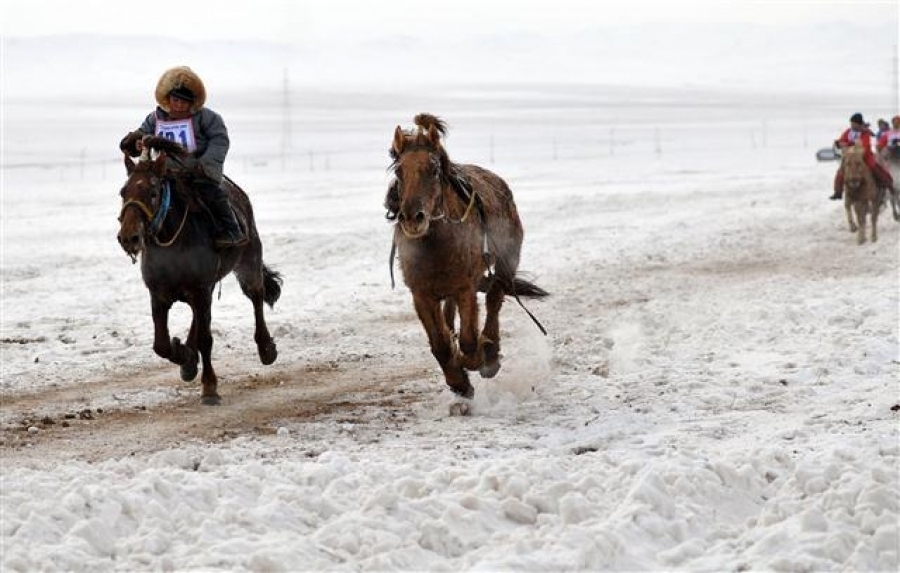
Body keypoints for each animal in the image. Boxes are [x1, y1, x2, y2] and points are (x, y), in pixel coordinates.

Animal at [118, 135, 282, 402]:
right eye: (123, 192)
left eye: (153, 192)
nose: (129, 237)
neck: (172, 241)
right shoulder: (160, 294)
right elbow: (161, 345)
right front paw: (184, 355)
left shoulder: (201, 290)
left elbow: (206, 339)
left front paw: (209, 386)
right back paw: (188, 360)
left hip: (248, 263)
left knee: (256, 297)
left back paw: (266, 348)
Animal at [386, 113, 548, 412]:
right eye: (399, 172)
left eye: (433, 170)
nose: (412, 218)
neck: (436, 245)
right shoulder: (421, 293)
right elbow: (440, 344)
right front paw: (459, 382)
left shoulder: (465, 288)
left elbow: (470, 341)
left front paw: (475, 360)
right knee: (452, 316)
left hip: (505, 265)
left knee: (495, 299)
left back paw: (491, 356)